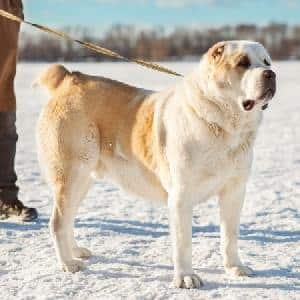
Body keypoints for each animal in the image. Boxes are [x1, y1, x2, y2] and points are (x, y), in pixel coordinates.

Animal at [37, 40, 276, 288]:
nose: (270, 74)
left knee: (68, 219)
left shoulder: (234, 192)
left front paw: (235, 268)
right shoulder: (181, 196)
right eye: (242, 63)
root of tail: (69, 79)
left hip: (82, 180)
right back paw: (68, 263)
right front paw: (186, 277)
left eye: (267, 62)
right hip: (71, 175)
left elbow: (230, 236)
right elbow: (183, 242)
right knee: (58, 222)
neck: (224, 126)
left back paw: (76, 252)